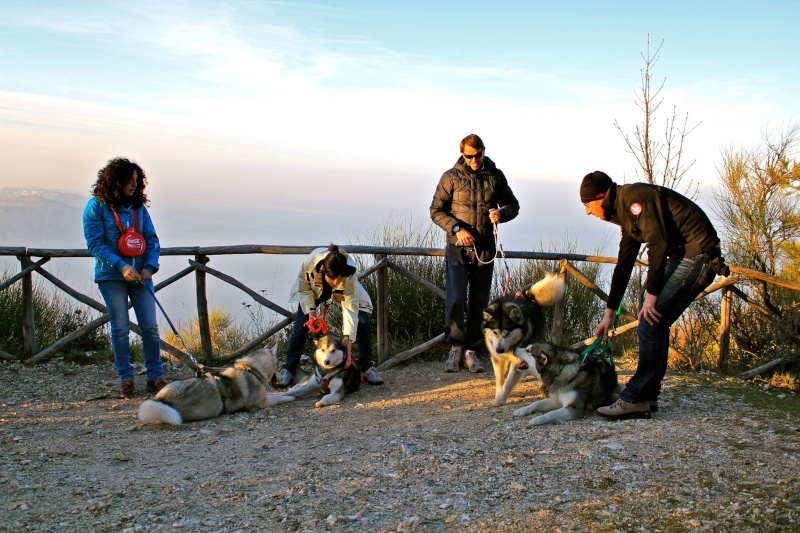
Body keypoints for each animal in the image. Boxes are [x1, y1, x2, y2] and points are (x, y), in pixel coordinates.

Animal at [141, 344, 282, 424]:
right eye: (279, 365)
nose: (281, 379)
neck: (251, 370)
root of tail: (161, 400)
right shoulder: (261, 403)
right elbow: (279, 397)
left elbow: (278, 394)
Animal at [484, 272, 564, 406]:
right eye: (495, 332)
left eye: (507, 333)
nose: (499, 350)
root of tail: (527, 296)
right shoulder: (496, 357)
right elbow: (499, 378)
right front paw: (498, 394)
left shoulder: (517, 359)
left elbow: (508, 382)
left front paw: (500, 399)